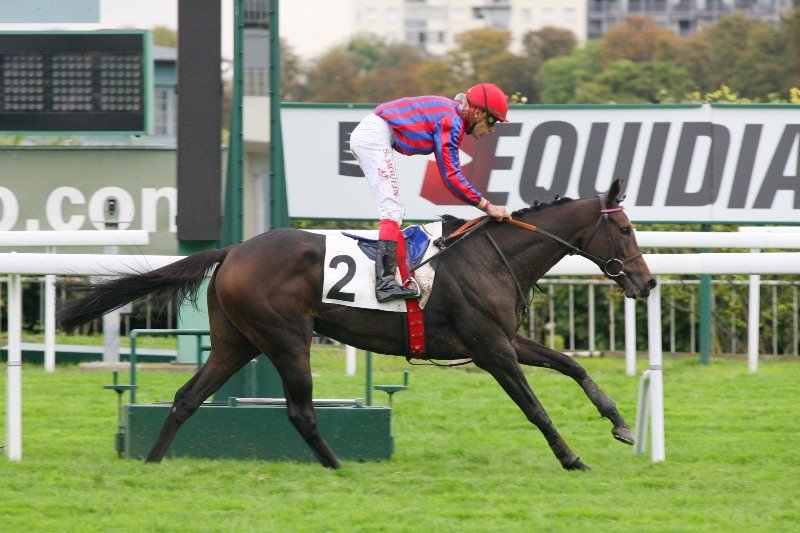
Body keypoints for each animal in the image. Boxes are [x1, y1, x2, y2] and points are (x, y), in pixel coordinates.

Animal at [57, 178, 655, 471]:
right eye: (625, 229)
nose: (647, 283)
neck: (492, 257)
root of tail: (232, 251)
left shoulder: (505, 339)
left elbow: (571, 364)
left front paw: (621, 424)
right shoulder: (492, 350)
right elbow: (534, 407)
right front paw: (572, 457)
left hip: (236, 344)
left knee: (186, 397)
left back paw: (153, 462)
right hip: (285, 339)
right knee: (299, 411)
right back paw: (338, 465)